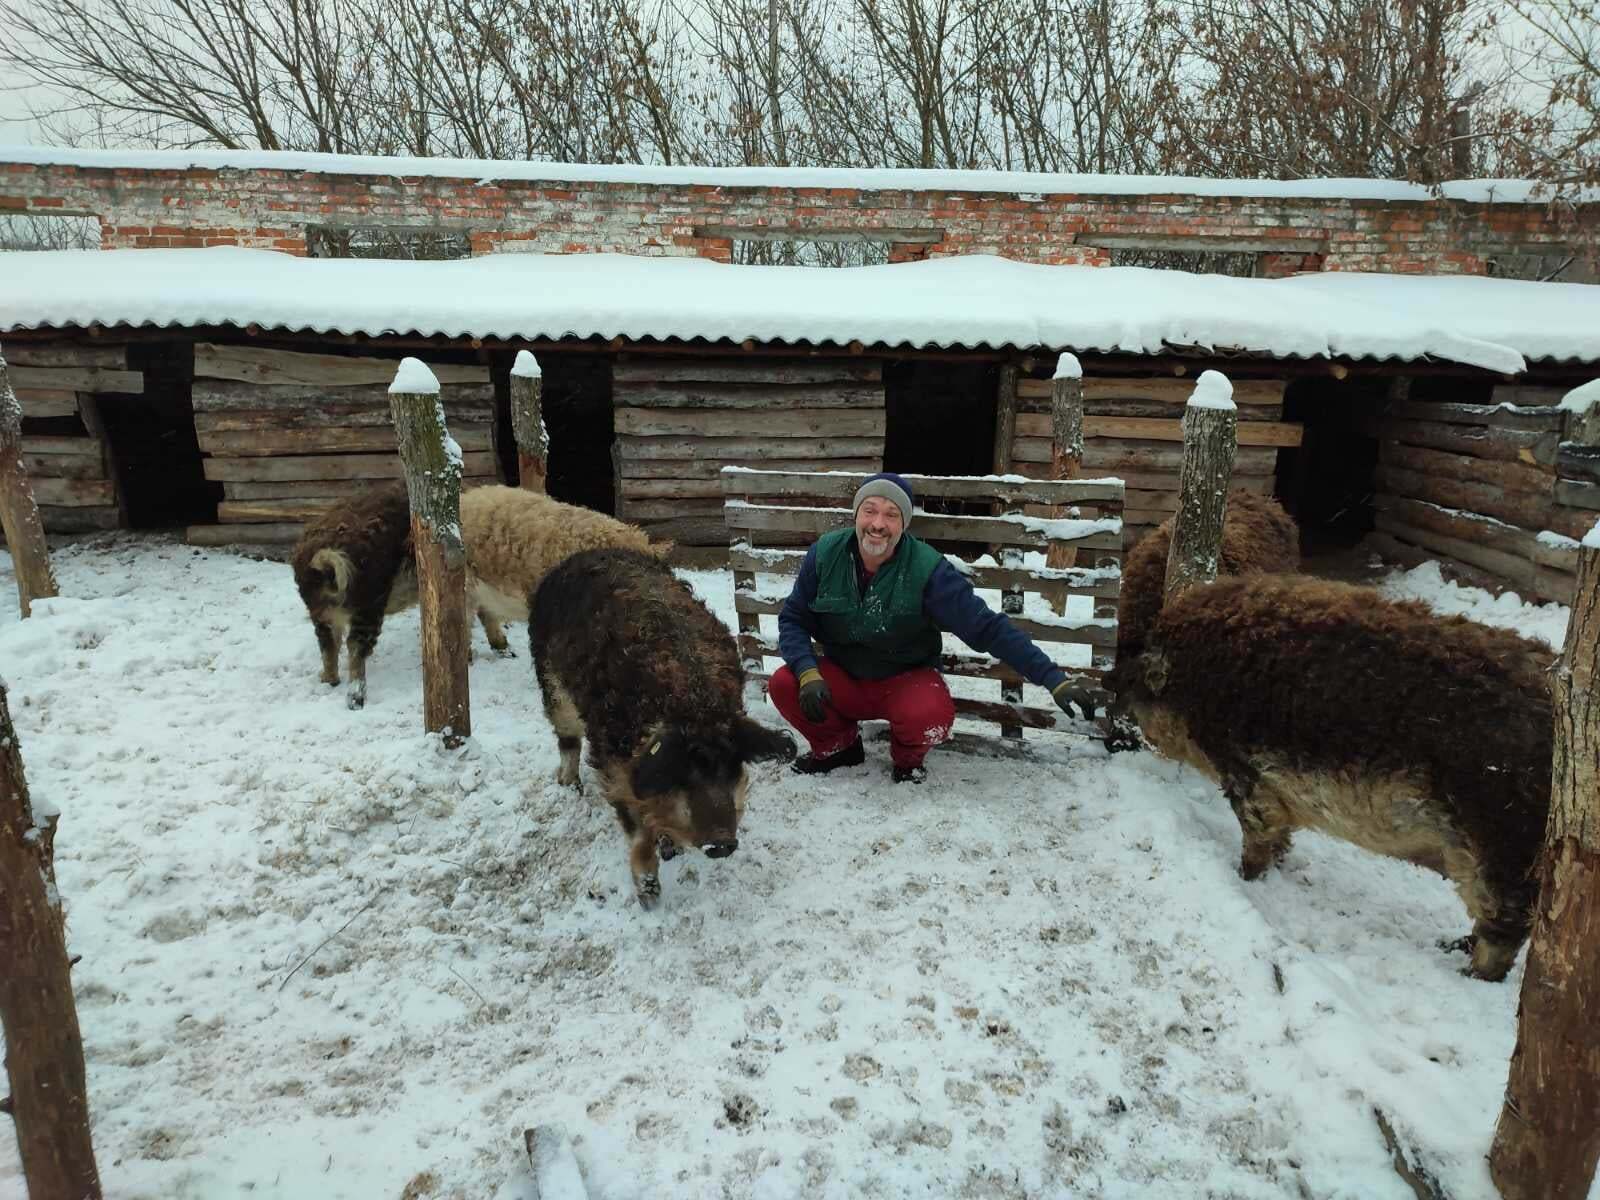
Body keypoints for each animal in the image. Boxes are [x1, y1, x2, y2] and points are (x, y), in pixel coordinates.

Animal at [528, 553, 796, 908]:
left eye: (733, 767)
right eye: (684, 772)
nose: (722, 843)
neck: (693, 705)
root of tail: (577, 557)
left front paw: (671, 849)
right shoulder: (611, 761)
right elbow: (638, 832)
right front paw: (649, 896)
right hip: (551, 680)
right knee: (567, 736)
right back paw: (570, 786)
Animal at [1113, 576, 1548, 985]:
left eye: (1136, 682)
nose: (1109, 683)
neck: (1191, 678)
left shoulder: (1242, 768)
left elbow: (1258, 829)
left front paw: (1245, 876)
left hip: (1505, 849)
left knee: (1505, 931)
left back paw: (1468, 970)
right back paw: (1453, 946)